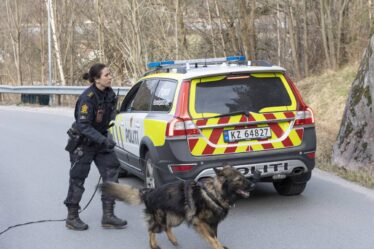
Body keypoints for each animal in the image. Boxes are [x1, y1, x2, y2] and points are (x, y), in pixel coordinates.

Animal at [102, 165, 260, 249]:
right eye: (239, 179)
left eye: (243, 176)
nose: (253, 185)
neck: (215, 193)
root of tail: (149, 191)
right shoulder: (199, 222)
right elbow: (212, 238)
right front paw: (218, 247)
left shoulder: (212, 223)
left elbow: (214, 237)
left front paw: (219, 245)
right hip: (160, 219)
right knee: (152, 230)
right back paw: (153, 245)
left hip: (176, 217)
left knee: (167, 227)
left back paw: (173, 240)